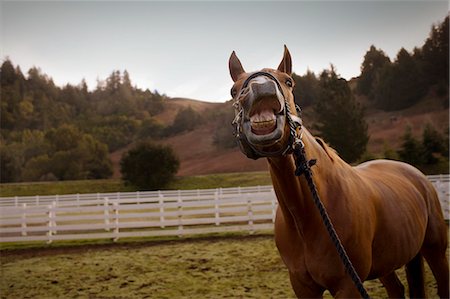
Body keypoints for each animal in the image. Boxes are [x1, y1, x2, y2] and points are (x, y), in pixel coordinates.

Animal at [230, 45, 448, 298]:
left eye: (289, 81)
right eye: (233, 90)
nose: (260, 89)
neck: (305, 217)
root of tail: (416, 175)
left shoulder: (348, 285)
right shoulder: (303, 287)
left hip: (435, 250)